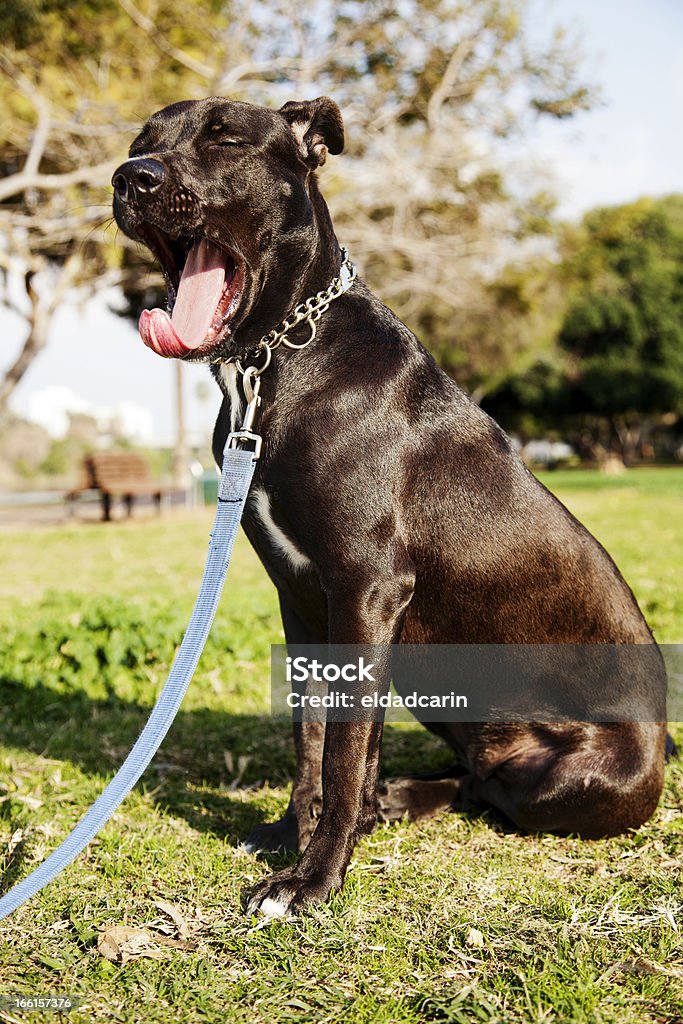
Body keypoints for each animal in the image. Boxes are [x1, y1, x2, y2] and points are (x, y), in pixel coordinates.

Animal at [112, 94, 667, 913]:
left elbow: (344, 753)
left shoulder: (368, 589)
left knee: (494, 792)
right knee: (472, 779)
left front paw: (312, 877)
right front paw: (297, 830)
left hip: (567, 776)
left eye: (227, 138)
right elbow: (315, 736)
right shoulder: (305, 601)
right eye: (139, 142)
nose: (131, 178)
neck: (282, 357)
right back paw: (396, 799)